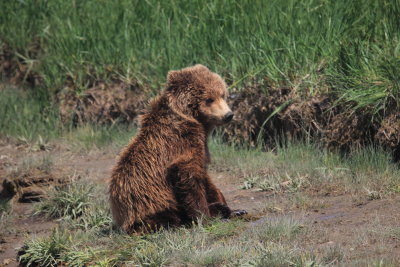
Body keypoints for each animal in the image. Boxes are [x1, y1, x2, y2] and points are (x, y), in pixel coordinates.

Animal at [109, 65, 247, 234]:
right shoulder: (181, 143)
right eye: (209, 99)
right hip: (146, 204)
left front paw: (234, 209)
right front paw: (204, 218)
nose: (228, 115)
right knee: (166, 218)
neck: (194, 119)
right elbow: (188, 176)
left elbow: (204, 177)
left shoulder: (200, 145)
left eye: (222, 94)